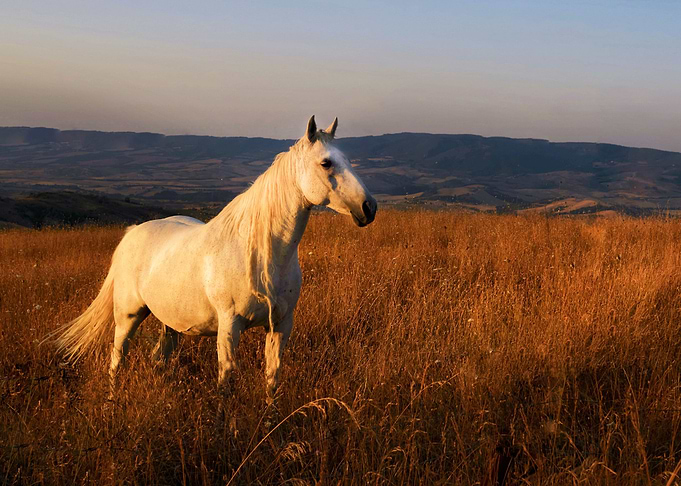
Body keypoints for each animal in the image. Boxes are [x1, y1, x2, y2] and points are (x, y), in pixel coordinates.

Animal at [52, 116, 377, 401]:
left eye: (348, 160)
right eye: (326, 162)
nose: (369, 207)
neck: (262, 256)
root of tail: (132, 233)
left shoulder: (281, 325)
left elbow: (272, 378)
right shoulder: (229, 325)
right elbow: (227, 379)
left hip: (170, 322)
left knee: (160, 358)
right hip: (128, 315)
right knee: (117, 359)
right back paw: (112, 402)